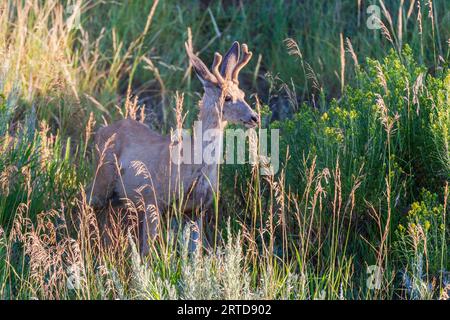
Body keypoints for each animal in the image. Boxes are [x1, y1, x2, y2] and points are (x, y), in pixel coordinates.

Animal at [88, 41, 256, 255]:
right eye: (227, 97)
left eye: (242, 94)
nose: (255, 117)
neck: (192, 165)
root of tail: (101, 130)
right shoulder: (152, 199)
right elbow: (147, 252)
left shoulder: (195, 209)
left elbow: (195, 252)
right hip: (102, 178)